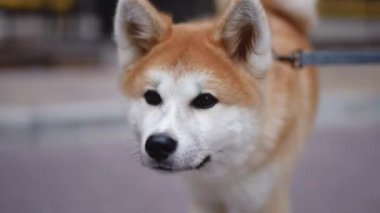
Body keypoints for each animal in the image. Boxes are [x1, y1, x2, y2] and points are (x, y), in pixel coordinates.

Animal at [114, 0, 320, 212]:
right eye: (152, 97)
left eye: (205, 100)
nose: (158, 144)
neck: (222, 174)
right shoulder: (203, 199)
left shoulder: (267, 199)